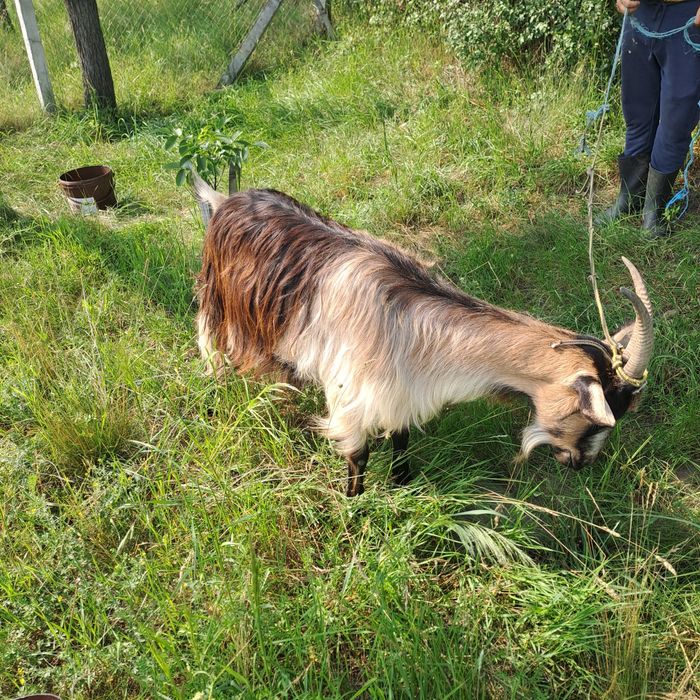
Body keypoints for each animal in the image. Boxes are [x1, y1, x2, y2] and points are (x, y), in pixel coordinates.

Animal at [193, 176, 654, 496]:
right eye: (593, 416)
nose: (579, 463)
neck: (411, 325)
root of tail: (226, 200)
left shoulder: (400, 390)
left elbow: (401, 439)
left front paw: (402, 483)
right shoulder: (351, 394)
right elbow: (357, 456)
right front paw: (353, 505)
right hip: (217, 299)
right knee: (209, 342)